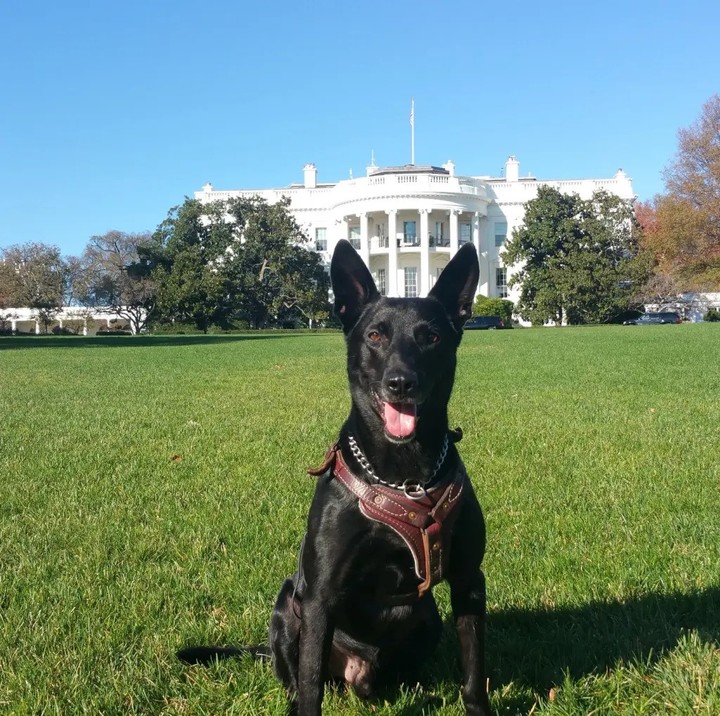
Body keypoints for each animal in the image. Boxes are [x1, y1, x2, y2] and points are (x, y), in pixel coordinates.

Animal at [183, 242, 492, 716]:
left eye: (432, 337)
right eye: (375, 336)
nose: (401, 383)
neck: (404, 476)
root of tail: (359, 675)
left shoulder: (468, 580)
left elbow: (474, 668)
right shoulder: (320, 596)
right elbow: (310, 681)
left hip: (428, 619)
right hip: (288, 607)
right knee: (297, 678)